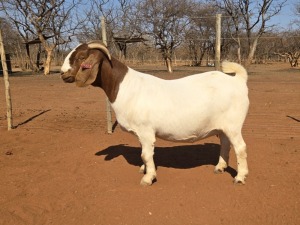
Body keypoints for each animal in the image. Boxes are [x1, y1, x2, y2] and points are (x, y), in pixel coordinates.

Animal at [60, 41, 248, 185]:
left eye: (81, 57)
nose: (62, 73)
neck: (125, 87)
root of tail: (238, 80)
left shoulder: (146, 131)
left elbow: (145, 153)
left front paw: (148, 178)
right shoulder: (140, 132)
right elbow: (144, 154)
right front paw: (144, 169)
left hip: (233, 125)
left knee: (240, 147)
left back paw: (240, 177)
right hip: (223, 127)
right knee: (225, 143)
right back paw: (220, 167)